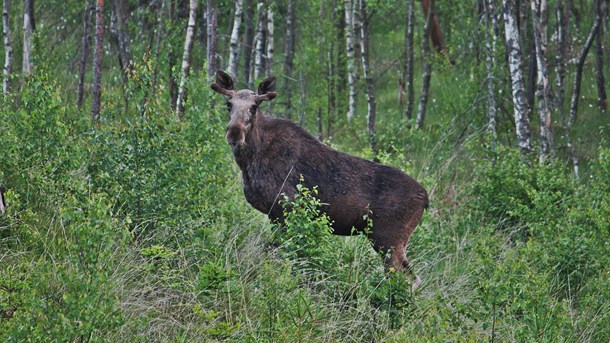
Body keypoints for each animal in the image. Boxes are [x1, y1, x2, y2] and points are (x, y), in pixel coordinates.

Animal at [211, 70, 430, 290]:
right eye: (228, 104)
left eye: (254, 107)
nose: (234, 134)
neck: (249, 162)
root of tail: (426, 199)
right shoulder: (275, 214)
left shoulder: (285, 208)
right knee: (414, 277)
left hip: (388, 239)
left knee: (403, 277)